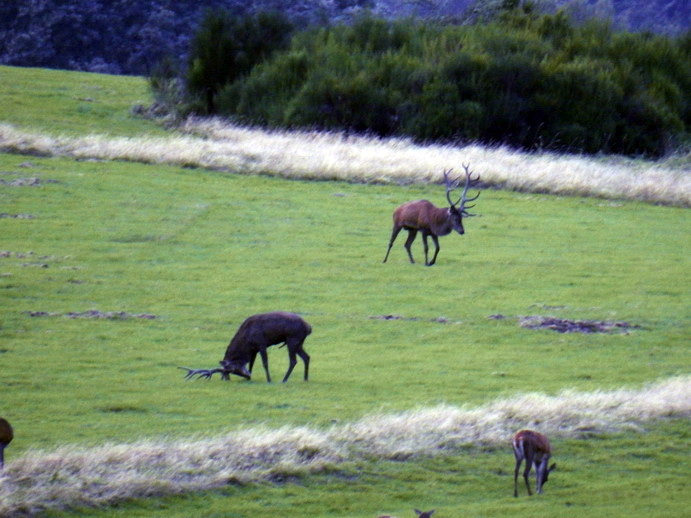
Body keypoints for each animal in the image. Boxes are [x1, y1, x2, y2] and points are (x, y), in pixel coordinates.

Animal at [184, 310, 314, 384]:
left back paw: (284, 380)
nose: (246, 375)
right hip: (298, 343)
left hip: (293, 339)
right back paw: (305, 378)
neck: (246, 340)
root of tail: (309, 327)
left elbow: (265, 363)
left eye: (233, 370)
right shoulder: (254, 349)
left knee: (293, 360)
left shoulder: (261, 343)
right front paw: (250, 378)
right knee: (306, 357)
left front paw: (269, 380)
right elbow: (252, 363)